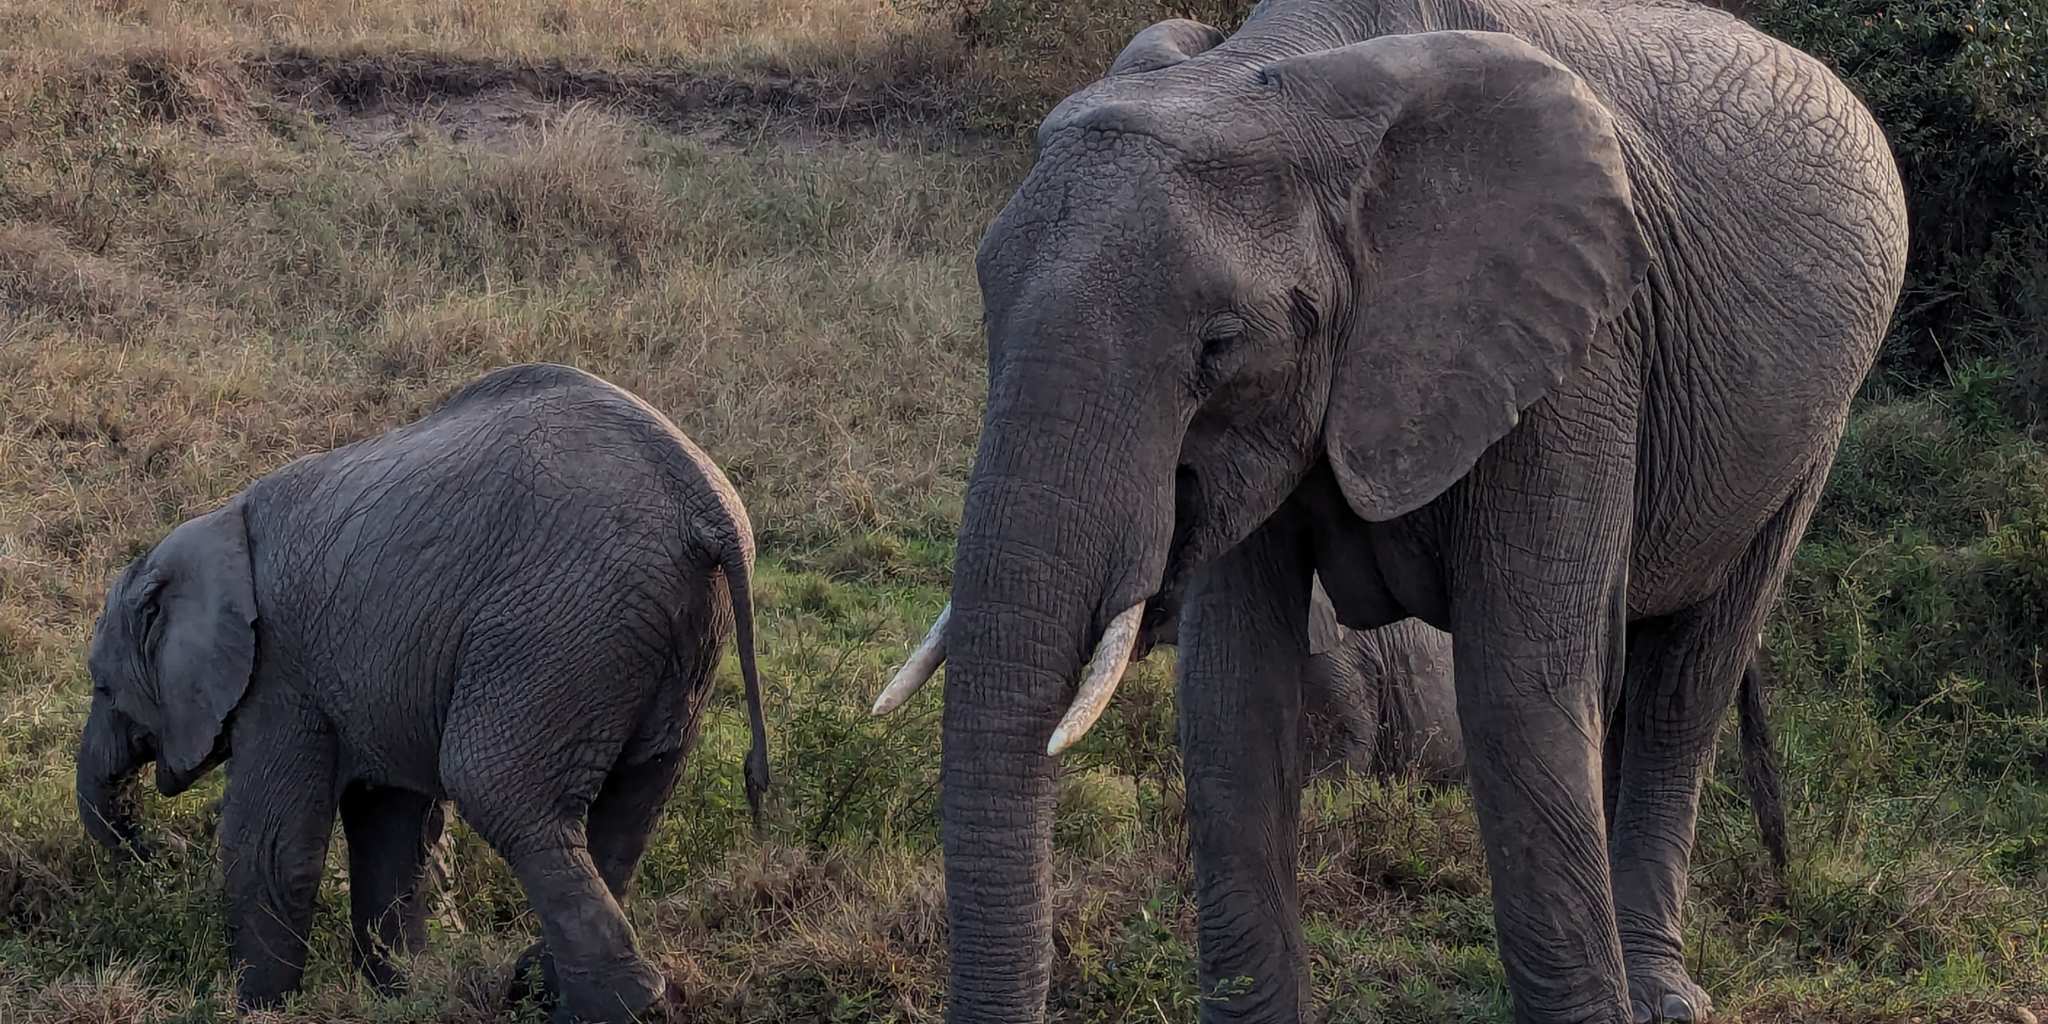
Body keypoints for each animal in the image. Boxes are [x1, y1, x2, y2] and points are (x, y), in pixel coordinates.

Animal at [75, 363, 770, 1024]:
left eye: (101, 684)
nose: (161, 849)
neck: (212, 527)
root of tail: (703, 499)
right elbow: (392, 834)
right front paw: (402, 997)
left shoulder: (281, 673)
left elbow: (272, 847)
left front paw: (256, 1011)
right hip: (659, 630)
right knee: (634, 801)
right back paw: (552, 992)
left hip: (564, 620)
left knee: (497, 786)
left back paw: (613, 1008)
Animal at [871, 1, 1902, 1021]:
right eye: (986, 298)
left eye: (1219, 344)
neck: (1289, 76)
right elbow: (1233, 695)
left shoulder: (1580, 347)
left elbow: (1519, 691)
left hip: (1812, 426)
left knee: (1682, 686)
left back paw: (1659, 994)